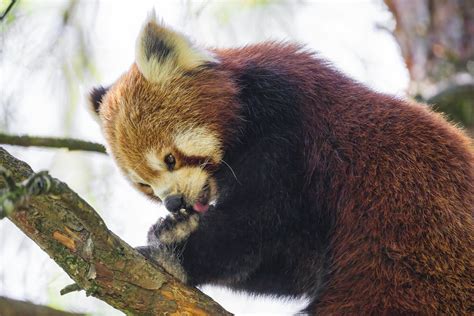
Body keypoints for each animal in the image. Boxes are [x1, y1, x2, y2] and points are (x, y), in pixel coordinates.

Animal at [90, 11, 474, 314]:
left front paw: (175, 246)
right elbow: (290, 261)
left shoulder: (291, 135)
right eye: (144, 184)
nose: (173, 202)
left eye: (169, 159)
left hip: (405, 269)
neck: (248, 107)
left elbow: (260, 220)